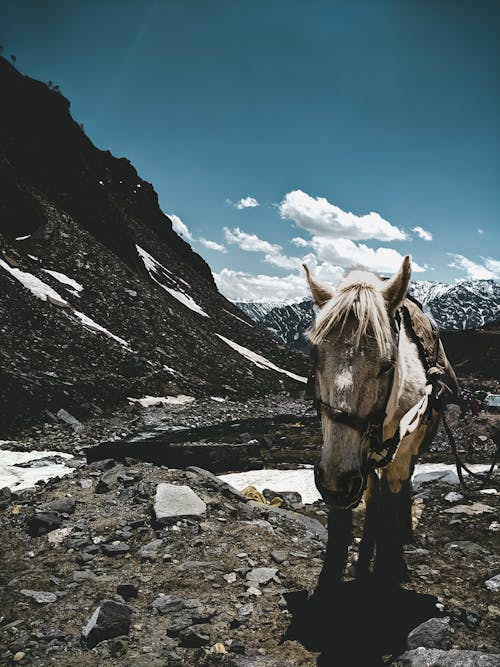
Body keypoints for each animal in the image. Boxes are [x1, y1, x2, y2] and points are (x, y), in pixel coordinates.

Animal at [302, 256, 458, 584]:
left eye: (388, 365)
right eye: (315, 358)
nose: (336, 484)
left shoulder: (401, 453)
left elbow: (393, 500)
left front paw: (391, 565)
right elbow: (343, 524)